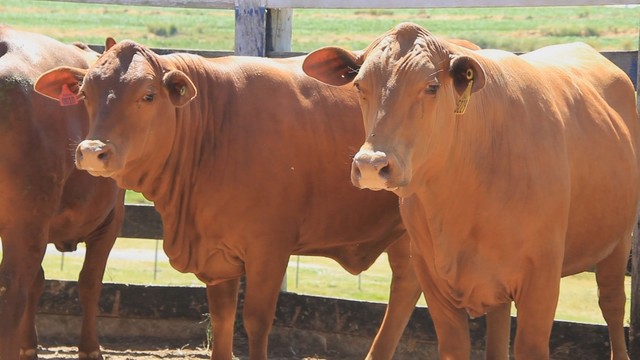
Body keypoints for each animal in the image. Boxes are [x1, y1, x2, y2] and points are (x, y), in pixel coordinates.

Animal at [0, 26, 125, 360]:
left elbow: (40, 282)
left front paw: (28, 346)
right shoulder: (111, 220)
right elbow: (90, 282)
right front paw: (90, 349)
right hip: (26, 222)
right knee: (12, 289)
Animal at [36, 40, 424, 360]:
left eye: (147, 95)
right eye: (85, 93)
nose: (91, 152)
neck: (213, 128)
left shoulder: (269, 249)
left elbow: (255, 320)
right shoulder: (216, 256)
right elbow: (222, 320)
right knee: (406, 289)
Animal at [302, 22, 636, 360]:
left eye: (431, 87)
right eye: (359, 85)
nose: (371, 165)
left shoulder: (541, 280)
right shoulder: (433, 279)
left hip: (619, 241)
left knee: (612, 304)